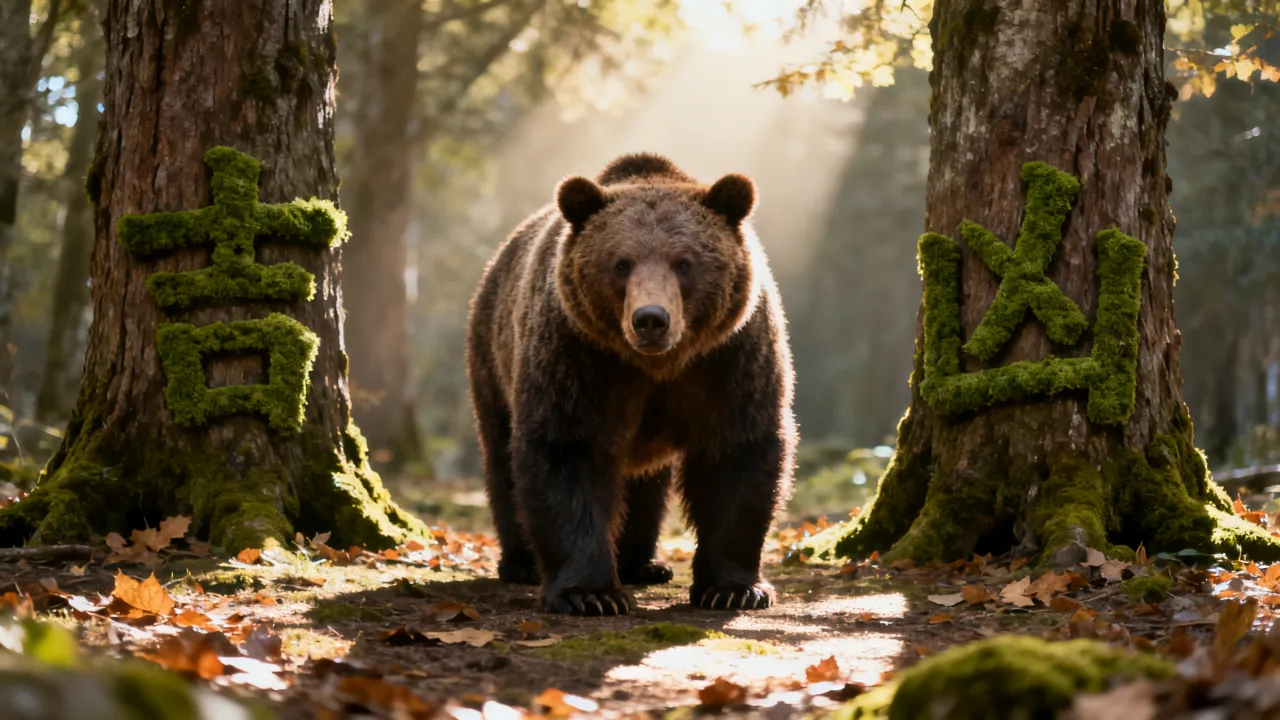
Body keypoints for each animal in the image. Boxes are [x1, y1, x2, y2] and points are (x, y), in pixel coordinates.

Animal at [465, 152, 796, 616]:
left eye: (684, 262)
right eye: (621, 263)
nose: (651, 319)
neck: (657, 365)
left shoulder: (730, 357)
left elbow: (737, 452)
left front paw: (734, 589)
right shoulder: (579, 355)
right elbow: (566, 449)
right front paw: (590, 594)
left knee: (645, 485)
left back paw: (643, 563)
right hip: (494, 358)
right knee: (501, 457)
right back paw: (521, 562)